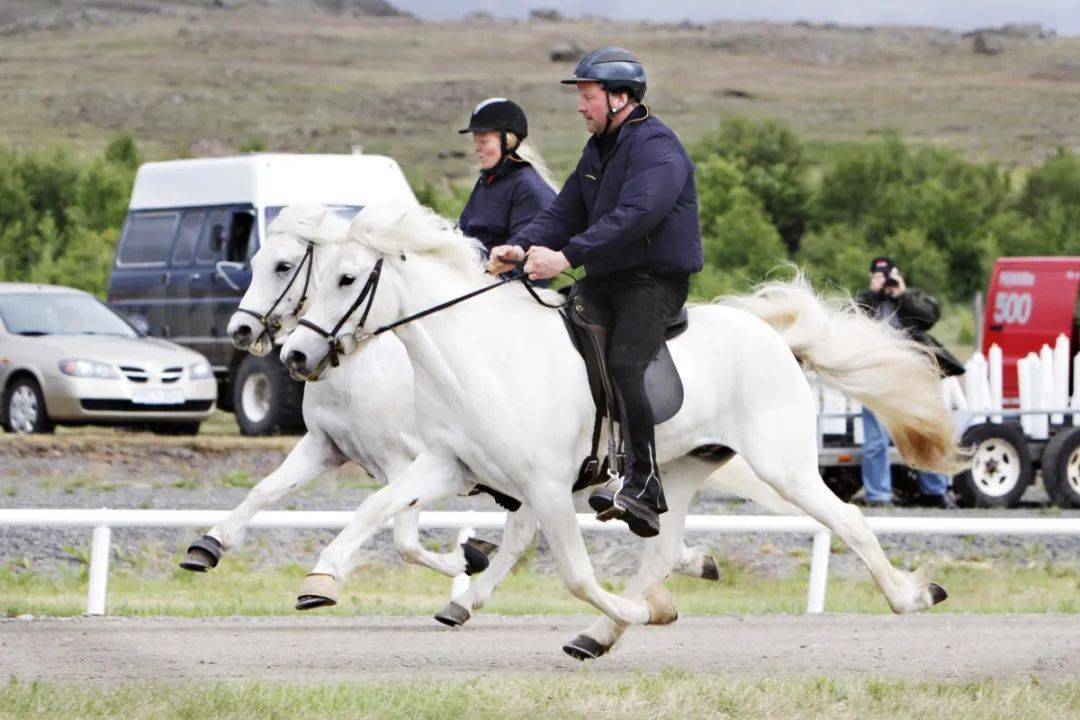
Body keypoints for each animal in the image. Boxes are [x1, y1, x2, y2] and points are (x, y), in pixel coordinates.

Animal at [280, 202, 963, 660]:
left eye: (346, 279)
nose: (294, 356)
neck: (482, 353)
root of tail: (775, 339)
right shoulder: (448, 465)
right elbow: (375, 509)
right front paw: (320, 581)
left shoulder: (546, 488)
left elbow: (578, 576)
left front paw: (639, 610)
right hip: (681, 470)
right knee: (662, 547)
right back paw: (604, 633)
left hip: (785, 467)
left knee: (847, 521)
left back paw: (913, 596)